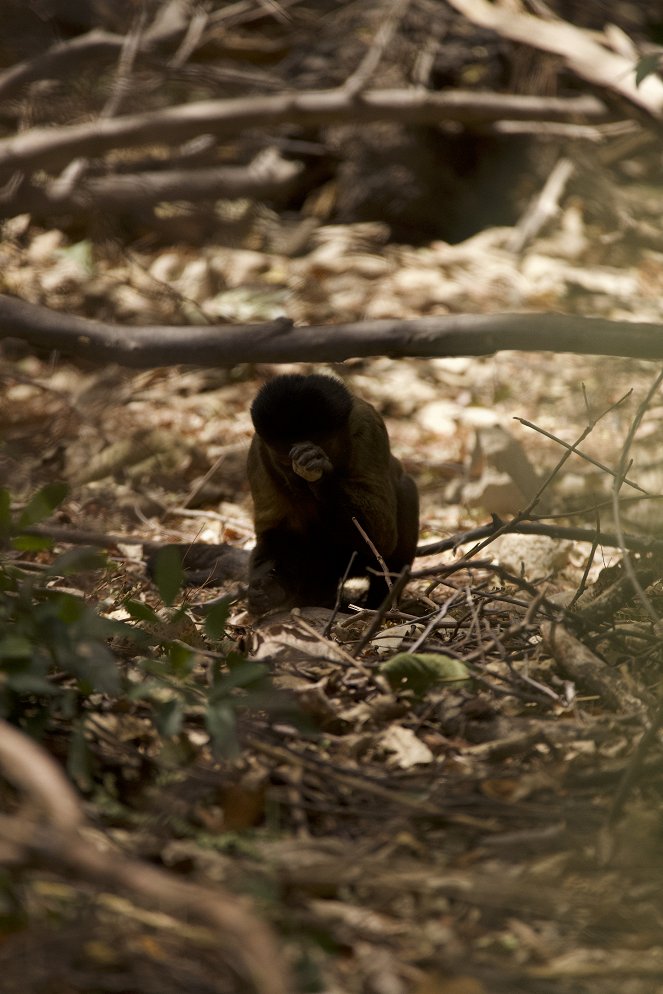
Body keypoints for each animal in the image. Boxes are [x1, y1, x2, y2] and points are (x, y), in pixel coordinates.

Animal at [246, 374, 418, 612]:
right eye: (284, 463)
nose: (298, 478)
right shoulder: (259, 452)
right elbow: (275, 530)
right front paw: (268, 588)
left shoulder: (368, 430)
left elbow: (384, 537)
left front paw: (322, 475)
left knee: (406, 490)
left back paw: (380, 604)